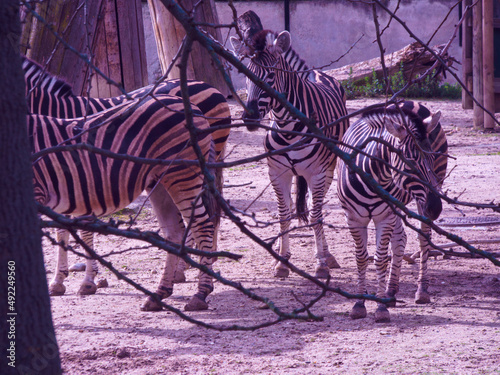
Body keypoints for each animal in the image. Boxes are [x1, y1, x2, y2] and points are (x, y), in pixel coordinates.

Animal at [24, 57, 231, 294]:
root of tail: (209, 85)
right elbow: (62, 231)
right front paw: (59, 280)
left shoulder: (76, 182)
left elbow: (81, 231)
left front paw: (87, 280)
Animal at [230, 13, 348, 280]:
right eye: (246, 75)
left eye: (271, 76)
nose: (250, 118)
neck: (288, 127)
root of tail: (314, 72)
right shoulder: (277, 173)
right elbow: (284, 213)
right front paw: (282, 262)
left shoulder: (317, 173)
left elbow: (315, 215)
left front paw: (320, 264)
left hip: (328, 169)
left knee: (318, 208)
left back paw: (327, 256)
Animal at [338, 105, 444, 324]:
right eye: (410, 161)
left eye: (431, 157)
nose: (436, 208)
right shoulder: (353, 218)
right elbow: (361, 258)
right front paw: (359, 304)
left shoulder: (385, 216)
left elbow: (380, 259)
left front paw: (380, 308)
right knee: (400, 239)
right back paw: (390, 292)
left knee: (423, 239)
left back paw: (421, 291)